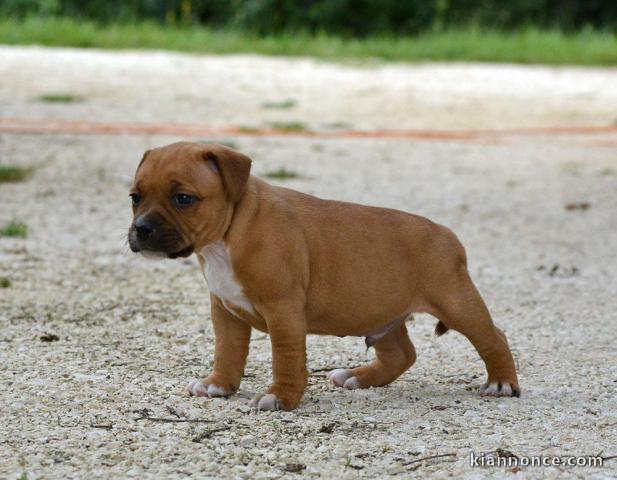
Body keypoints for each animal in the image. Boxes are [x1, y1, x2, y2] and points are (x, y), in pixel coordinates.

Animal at [129, 141, 520, 410]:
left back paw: (502, 383)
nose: (141, 229)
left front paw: (280, 398)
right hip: (380, 314)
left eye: (183, 198)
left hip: (457, 302)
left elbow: (285, 357)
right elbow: (227, 351)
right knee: (402, 354)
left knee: (493, 337)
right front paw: (218, 385)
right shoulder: (225, 312)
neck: (228, 235)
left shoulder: (283, 311)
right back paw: (358, 377)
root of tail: (448, 235)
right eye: (135, 197)